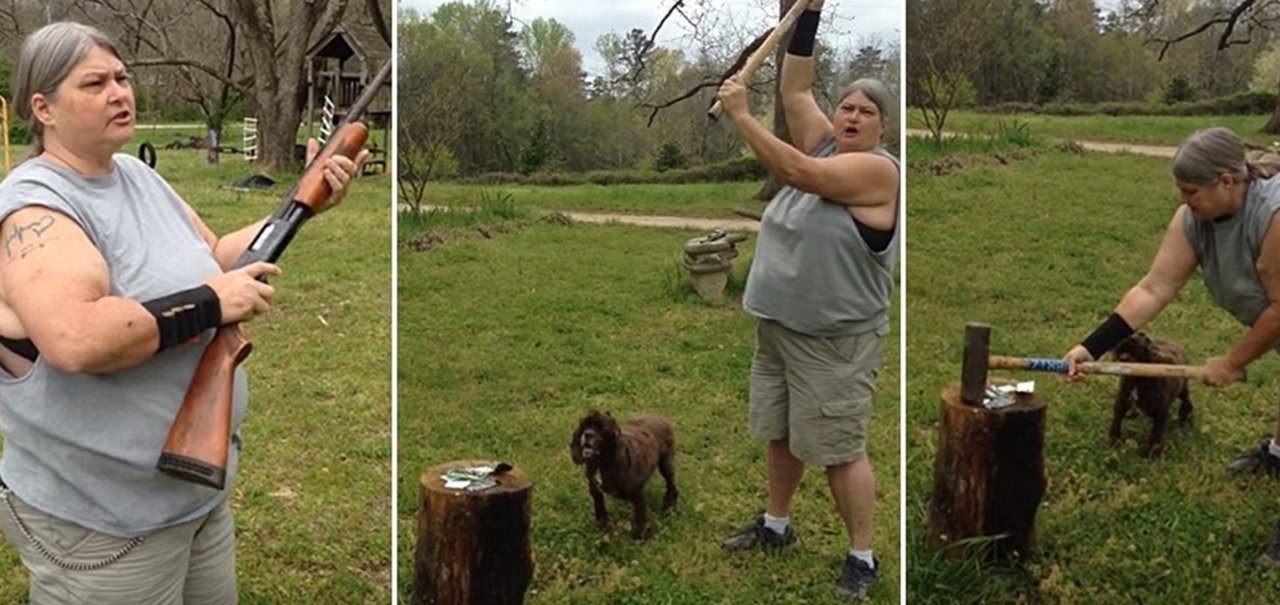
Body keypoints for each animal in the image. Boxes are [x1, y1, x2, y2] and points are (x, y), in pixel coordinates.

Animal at [570, 409, 680, 537]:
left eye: (602, 428)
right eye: (584, 426)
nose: (587, 434)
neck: (601, 463)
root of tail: (660, 417)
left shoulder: (637, 493)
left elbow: (642, 515)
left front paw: (641, 535)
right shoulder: (595, 490)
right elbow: (601, 511)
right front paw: (604, 529)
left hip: (666, 464)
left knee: (671, 485)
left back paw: (668, 508)